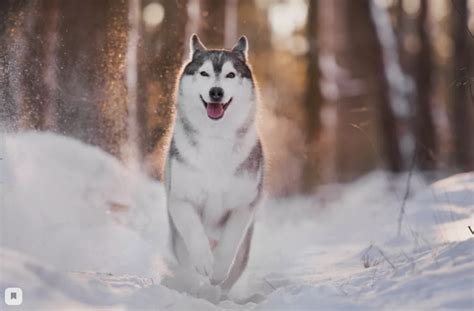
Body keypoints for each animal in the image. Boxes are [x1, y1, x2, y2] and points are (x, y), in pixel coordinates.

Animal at [164, 34, 262, 300]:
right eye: (205, 73)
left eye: (230, 75)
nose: (216, 92)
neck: (215, 139)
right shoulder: (180, 199)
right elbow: (194, 232)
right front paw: (205, 262)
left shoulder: (243, 206)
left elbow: (230, 243)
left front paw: (217, 270)